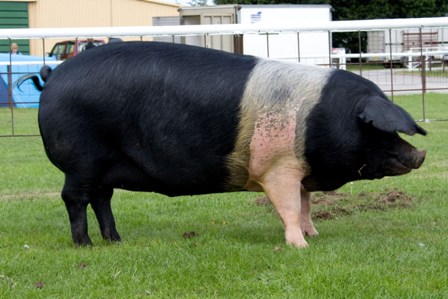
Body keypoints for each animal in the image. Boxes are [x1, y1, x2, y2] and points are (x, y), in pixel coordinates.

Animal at [24, 41, 428, 250]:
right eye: (377, 129)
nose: (420, 153)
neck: (321, 118)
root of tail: (53, 76)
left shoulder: (298, 171)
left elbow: (305, 204)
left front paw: (315, 234)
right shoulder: (278, 168)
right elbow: (288, 208)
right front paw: (300, 246)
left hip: (102, 167)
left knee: (102, 199)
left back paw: (116, 241)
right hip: (81, 160)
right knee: (75, 198)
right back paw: (85, 246)